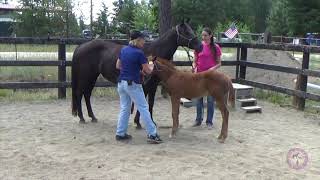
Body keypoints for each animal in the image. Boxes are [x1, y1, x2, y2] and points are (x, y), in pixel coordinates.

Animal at [72, 22, 202, 125]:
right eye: (187, 32)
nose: (200, 46)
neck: (154, 52)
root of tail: (80, 47)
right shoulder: (145, 84)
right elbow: (143, 103)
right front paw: (139, 122)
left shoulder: (153, 85)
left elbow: (150, 103)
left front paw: (150, 121)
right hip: (85, 77)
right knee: (79, 93)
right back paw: (82, 118)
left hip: (92, 77)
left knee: (86, 94)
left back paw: (92, 117)